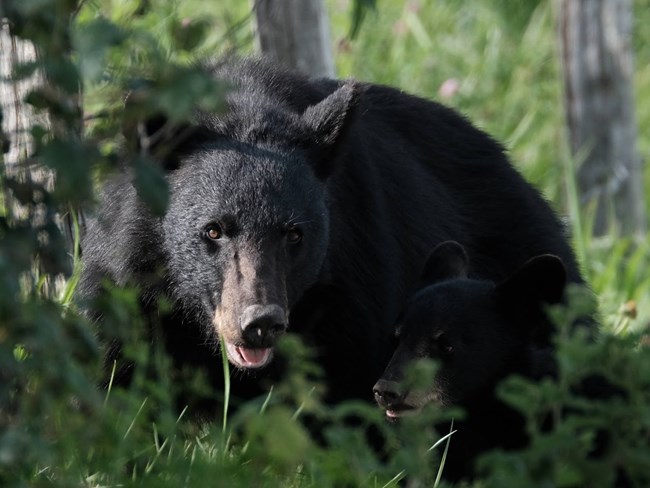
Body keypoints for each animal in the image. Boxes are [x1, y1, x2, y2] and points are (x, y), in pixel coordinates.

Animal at [77, 58, 585, 416]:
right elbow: (118, 377)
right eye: (213, 230)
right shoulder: (126, 280)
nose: (259, 323)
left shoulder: (355, 287)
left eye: (294, 235)